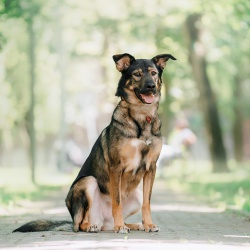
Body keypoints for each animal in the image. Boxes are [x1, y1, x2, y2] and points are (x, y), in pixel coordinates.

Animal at [12, 52, 176, 234]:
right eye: (137, 74)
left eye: (153, 73)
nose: (151, 86)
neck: (141, 117)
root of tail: (103, 220)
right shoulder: (116, 167)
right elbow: (117, 202)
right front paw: (121, 227)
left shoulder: (151, 167)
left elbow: (147, 203)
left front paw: (148, 224)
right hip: (88, 182)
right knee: (80, 225)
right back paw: (99, 226)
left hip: (136, 195)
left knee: (114, 220)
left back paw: (132, 225)